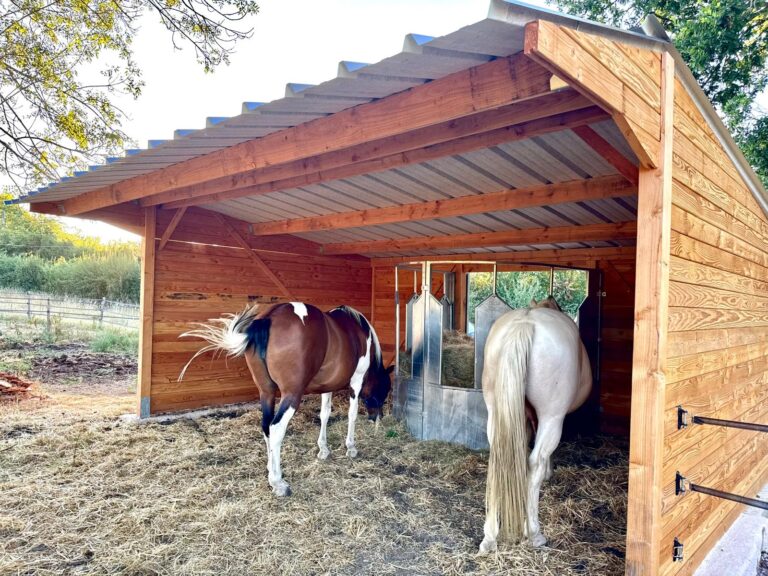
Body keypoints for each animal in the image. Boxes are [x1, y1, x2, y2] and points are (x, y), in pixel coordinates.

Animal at [179, 302, 394, 497]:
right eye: (384, 390)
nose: (377, 418)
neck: (358, 331)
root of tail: (268, 318)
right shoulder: (356, 381)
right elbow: (352, 415)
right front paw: (351, 447)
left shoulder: (327, 387)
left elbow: (324, 415)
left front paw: (323, 449)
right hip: (291, 395)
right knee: (276, 428)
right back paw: (278, 482)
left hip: (266, 392)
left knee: (266, 426)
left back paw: (270, 469)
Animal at [479, 296, 592, 552]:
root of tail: (526, 323)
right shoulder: (547, 418)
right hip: (552, 418)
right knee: (535, 463)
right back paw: (534, 533)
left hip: (496, 413)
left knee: (499, 457)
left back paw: (490, 537)